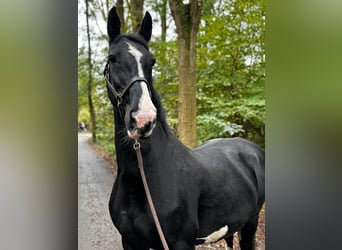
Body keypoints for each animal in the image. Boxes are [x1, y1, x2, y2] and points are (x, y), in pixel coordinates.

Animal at [105, 7, 266, 250]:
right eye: (112, 58)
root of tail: (254, 149)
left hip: (250, 224)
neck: (143, 178)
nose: (143, 119)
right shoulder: (130, 242)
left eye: (152, 62)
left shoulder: (181, 243)